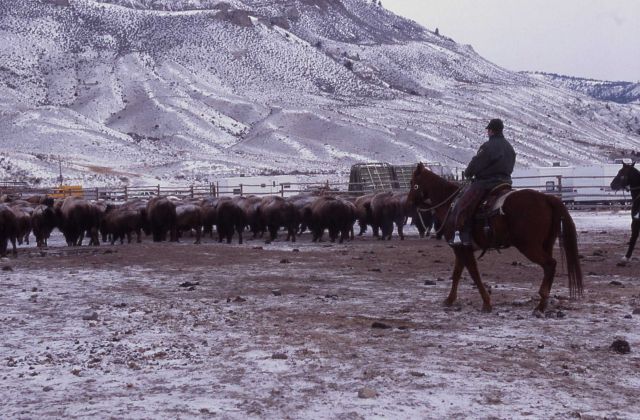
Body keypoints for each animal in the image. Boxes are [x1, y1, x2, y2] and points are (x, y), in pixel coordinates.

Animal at [408, 162, 584, 314]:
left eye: (412, 183)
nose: (409, 203)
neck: (451, 205)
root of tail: (547, 198)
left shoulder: (463, 248)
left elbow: (473, 273)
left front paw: (486, 303)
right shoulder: (460, 249)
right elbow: (457, 273)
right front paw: (449, 300)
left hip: (529, 246)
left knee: (550, 264)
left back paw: (540, 305)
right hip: (546, 243)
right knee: (549, 268)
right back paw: (543, 304)